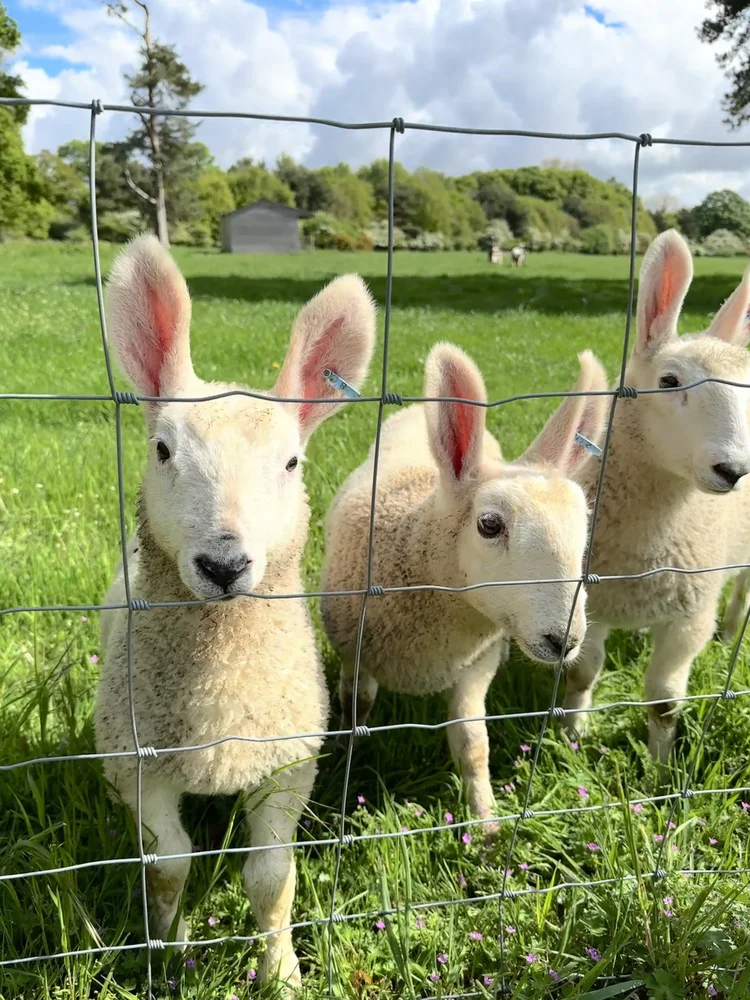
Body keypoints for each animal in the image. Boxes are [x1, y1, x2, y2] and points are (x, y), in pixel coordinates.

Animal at [94, 235, 376, 989]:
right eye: (162, 450)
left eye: (292, 463)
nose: (224, 565)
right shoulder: (138, 765)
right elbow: (168, 866)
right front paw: (170, 950)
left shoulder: (287, 763)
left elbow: (270, 878)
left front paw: (281, 974)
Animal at [321, 342, 609, 828]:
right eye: (489, 525)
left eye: (585, 526)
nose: (564, 640)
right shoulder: (355, 650)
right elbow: (356, 705)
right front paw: (345, 756)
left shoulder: (476, 665)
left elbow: (473, 743)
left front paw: (486, 822)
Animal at [563, 229, 750, 763]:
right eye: (668, 381)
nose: (733, 471)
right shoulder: (593, 601)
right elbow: (583, 673)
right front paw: (574, 738)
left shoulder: (691, 613)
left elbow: (664, 701)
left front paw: (660, 768)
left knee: (743, 588)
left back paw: (731, 629)